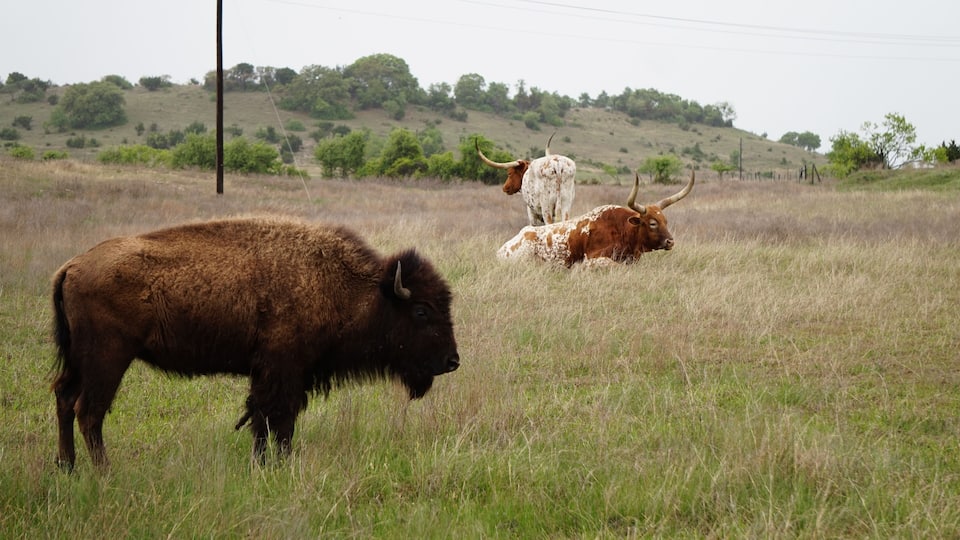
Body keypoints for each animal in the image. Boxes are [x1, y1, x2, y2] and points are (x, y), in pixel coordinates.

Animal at [50, 217, 460, 471]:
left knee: (65, 399)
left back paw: (68, 468)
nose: (452, 361)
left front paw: (265, 463)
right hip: (108, 358)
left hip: (78, 360)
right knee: (90, 412)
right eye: (421, 311)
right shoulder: (282, 371)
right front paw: (275, 464)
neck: (351, 288)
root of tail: (72, 265)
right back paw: (104, 472)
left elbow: (266, 419)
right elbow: (278, 420)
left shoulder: (275, 374)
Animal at [497, 171, 695, 267]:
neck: (623, 230)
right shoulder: (593, 259)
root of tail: (501, 250)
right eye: (652, 223)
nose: (670, 241)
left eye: (666, 221)